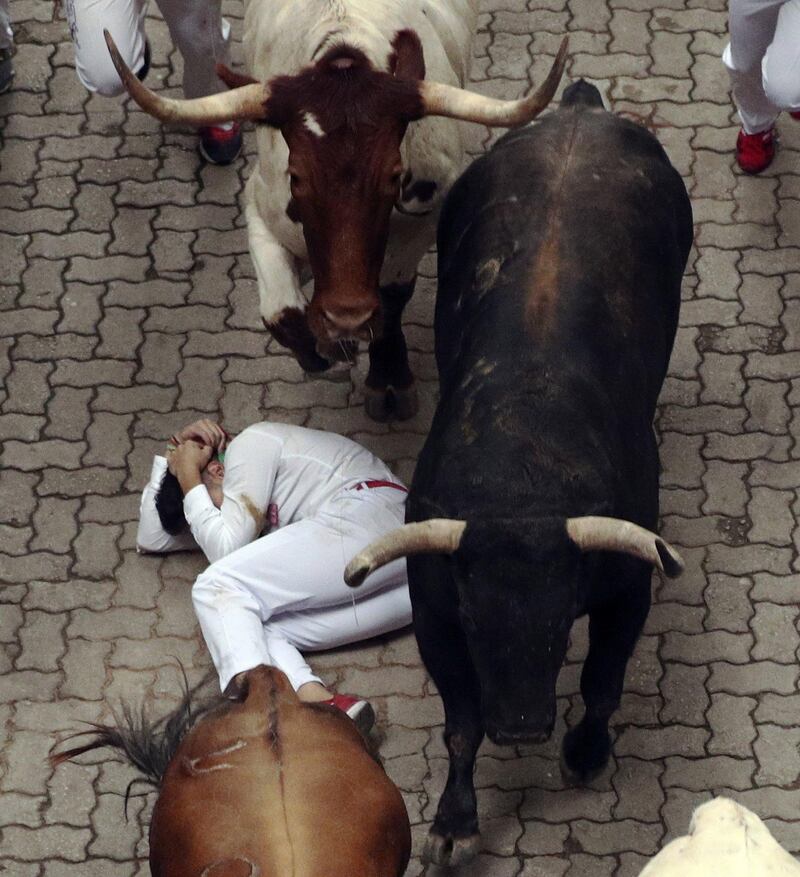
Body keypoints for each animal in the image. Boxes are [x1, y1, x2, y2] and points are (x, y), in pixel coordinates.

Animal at [346, 80, 692, 864]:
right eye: (478, 619)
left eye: (563, 616)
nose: (525, 727)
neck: (520, 480)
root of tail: (578, 109)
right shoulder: (435, 612)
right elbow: (460, 724)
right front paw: (454, 822)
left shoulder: (627, 589)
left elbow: (601, 682)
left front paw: (586, 752)